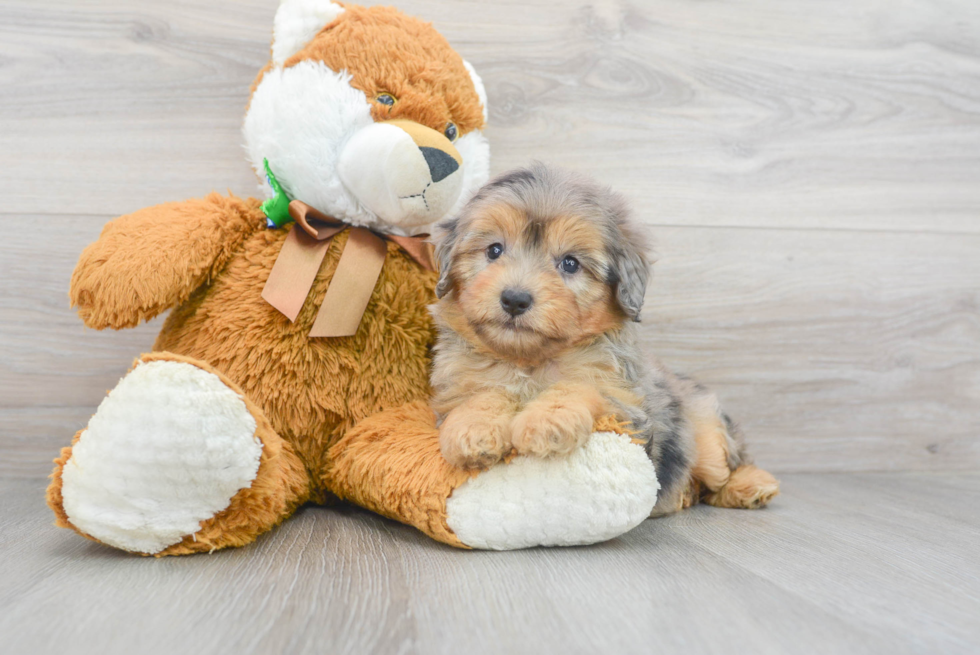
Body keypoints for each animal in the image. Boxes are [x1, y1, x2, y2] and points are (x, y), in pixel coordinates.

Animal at [432, 164, 776, 516]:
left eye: (570, 263)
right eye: (494, 250)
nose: (515, 299)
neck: (529, 361)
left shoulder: (626, 406)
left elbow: (581, 386)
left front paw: (547, 420)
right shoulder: (456, 389)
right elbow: (483, 395)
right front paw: (473, 429)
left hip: (706, 433)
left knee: (724, 468)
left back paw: (749, 485)